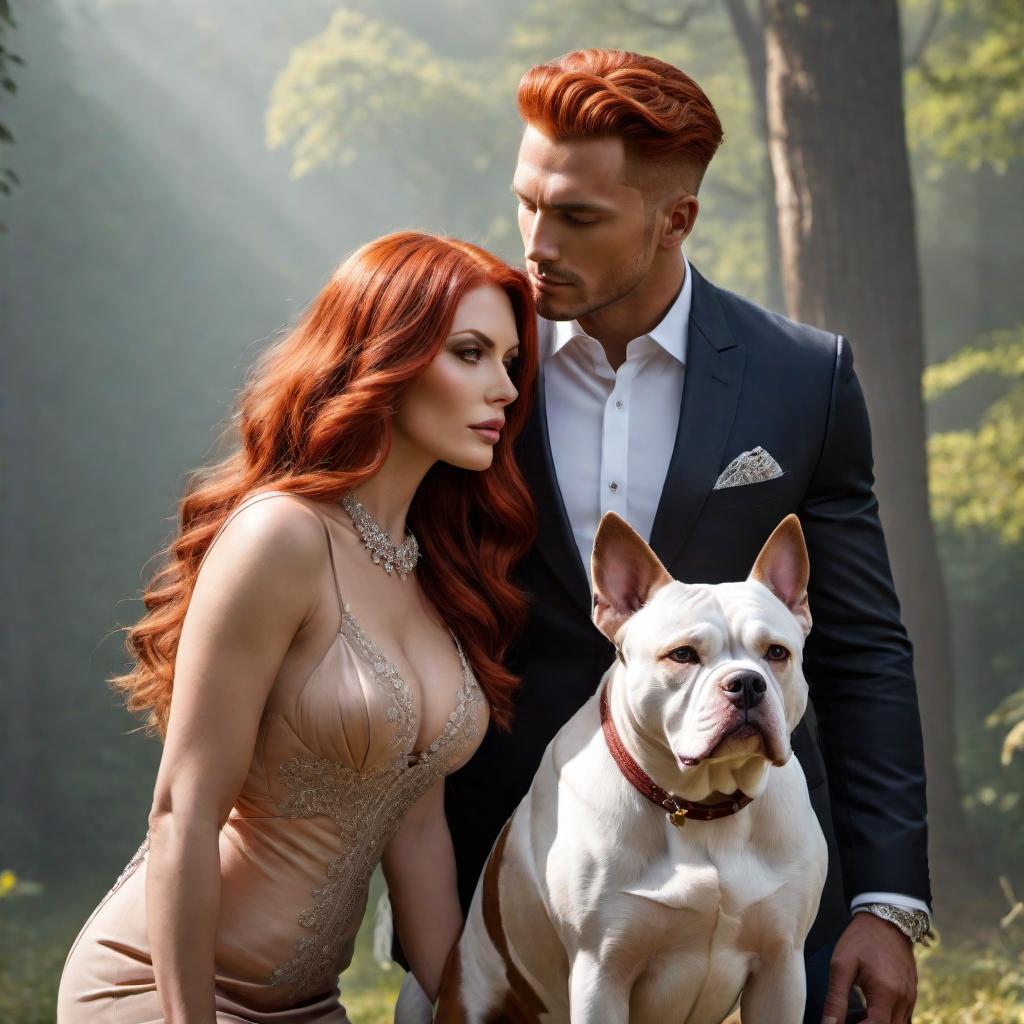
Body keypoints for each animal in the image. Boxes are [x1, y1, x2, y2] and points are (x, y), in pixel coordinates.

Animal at [436, 516, 827, 1019]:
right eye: (682, 654)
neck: (702, 804)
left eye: (777, 653)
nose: (745, 683)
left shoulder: (781, 969)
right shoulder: (602, 974)